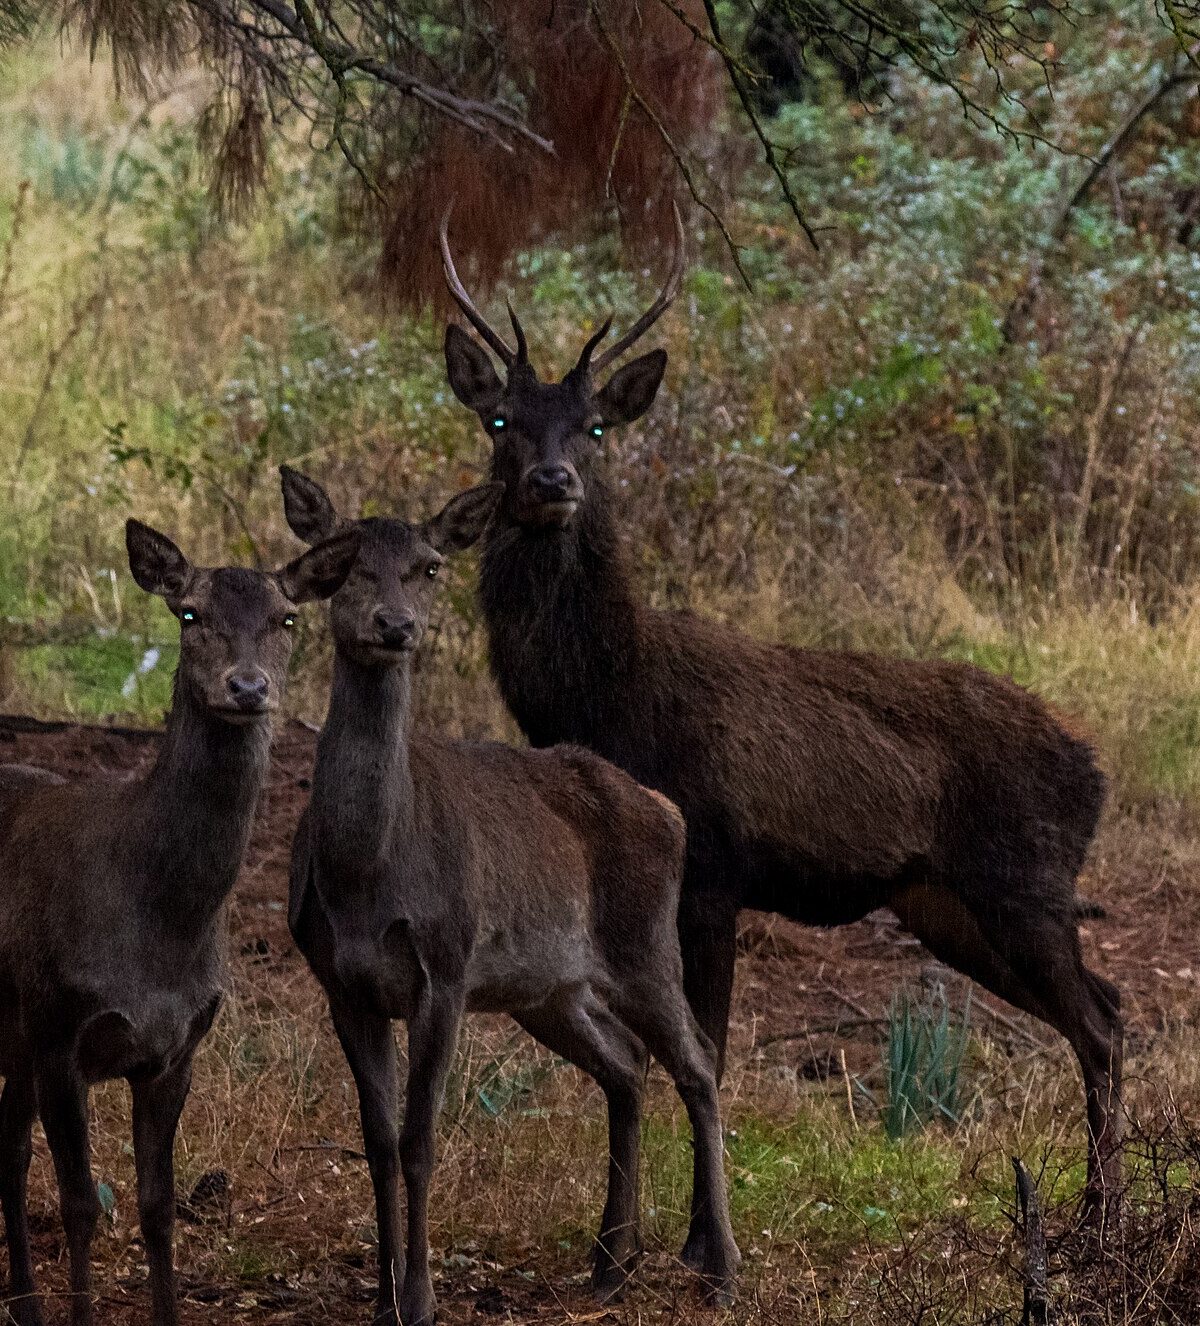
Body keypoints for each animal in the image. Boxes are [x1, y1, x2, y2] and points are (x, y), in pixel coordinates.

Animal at [0, 519, 360, 1326]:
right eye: (189, 613)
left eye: (286, 618)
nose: (248, 687)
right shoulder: (58, 1027)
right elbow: (79, 1205)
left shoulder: (176, 1049)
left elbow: (157, 1205)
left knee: (1, 1153)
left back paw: (22, 1302)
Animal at [280, 466, 740, 1326]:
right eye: (343, 563)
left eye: (429, 565)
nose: (395, 625)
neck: (365, 872)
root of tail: (666, 810)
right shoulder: (341, 985)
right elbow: (376, 1141)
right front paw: (382, 1297)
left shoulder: (446, 966)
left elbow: (420, 1139)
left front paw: (421, 1298)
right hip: (548, 988)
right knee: (626, 1066)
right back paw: (609, 1266)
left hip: (644, 945)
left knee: (698, 1063)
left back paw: (721, 1269)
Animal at [438, 211, 1124, 1218]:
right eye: (500, 422)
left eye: (594, 426)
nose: (554, 480)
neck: (615, 696)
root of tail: (1097, 770)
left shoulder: (717, 867)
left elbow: (709, 1058)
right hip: (946, 903)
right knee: (1110, 1004)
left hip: (1024, 882)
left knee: (1103, 1026)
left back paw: (1096, 1217)